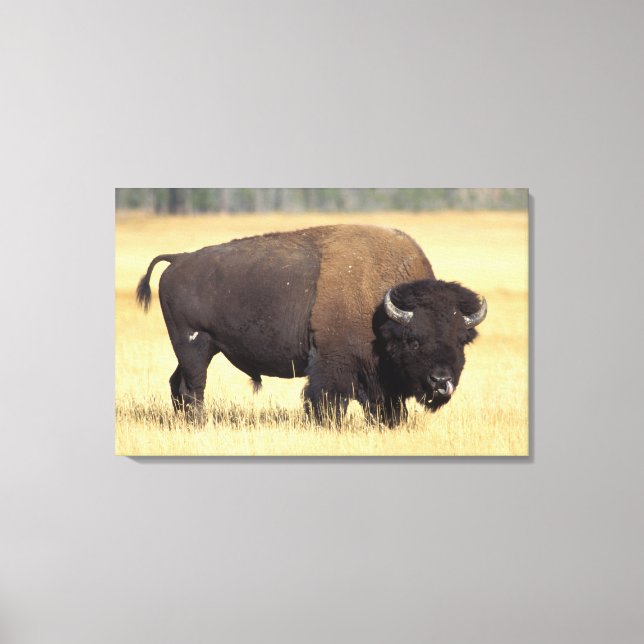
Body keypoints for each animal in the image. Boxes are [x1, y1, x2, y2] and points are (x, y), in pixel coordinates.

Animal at [136, 224, 487, 426]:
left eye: (460, 341)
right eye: (413, 339)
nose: (441, 381)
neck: (379, 307)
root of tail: (179, 259)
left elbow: (385, 407)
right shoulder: (334, 364)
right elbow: (328, 400)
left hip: (200, 349)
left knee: (177, 384)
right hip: (194, 345)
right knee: (193, 387)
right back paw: (198, 423)